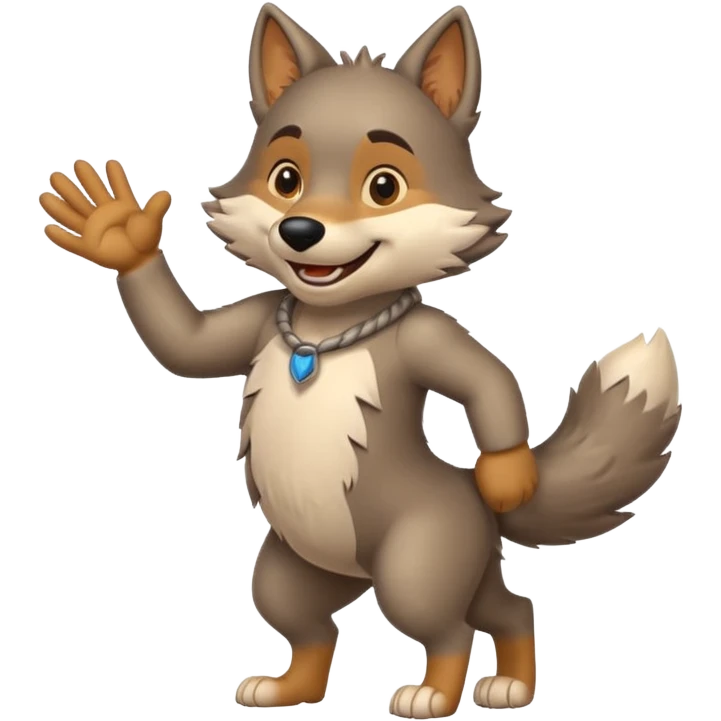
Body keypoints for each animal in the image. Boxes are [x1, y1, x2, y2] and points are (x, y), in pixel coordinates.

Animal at [38, 3, 681, 717]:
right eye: (285, 179)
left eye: (384, 186)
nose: (300, 231)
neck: (329, 322)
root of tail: (466, 497)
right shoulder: (258, 319)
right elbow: (185, 343)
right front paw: (118, 234)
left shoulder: (427, 337)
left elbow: (487, 378)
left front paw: (511, 475)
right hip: (297, 566)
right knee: (340, 620)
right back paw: (294, 688)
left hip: (421, 560)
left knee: (453, 624)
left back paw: (441, 692)